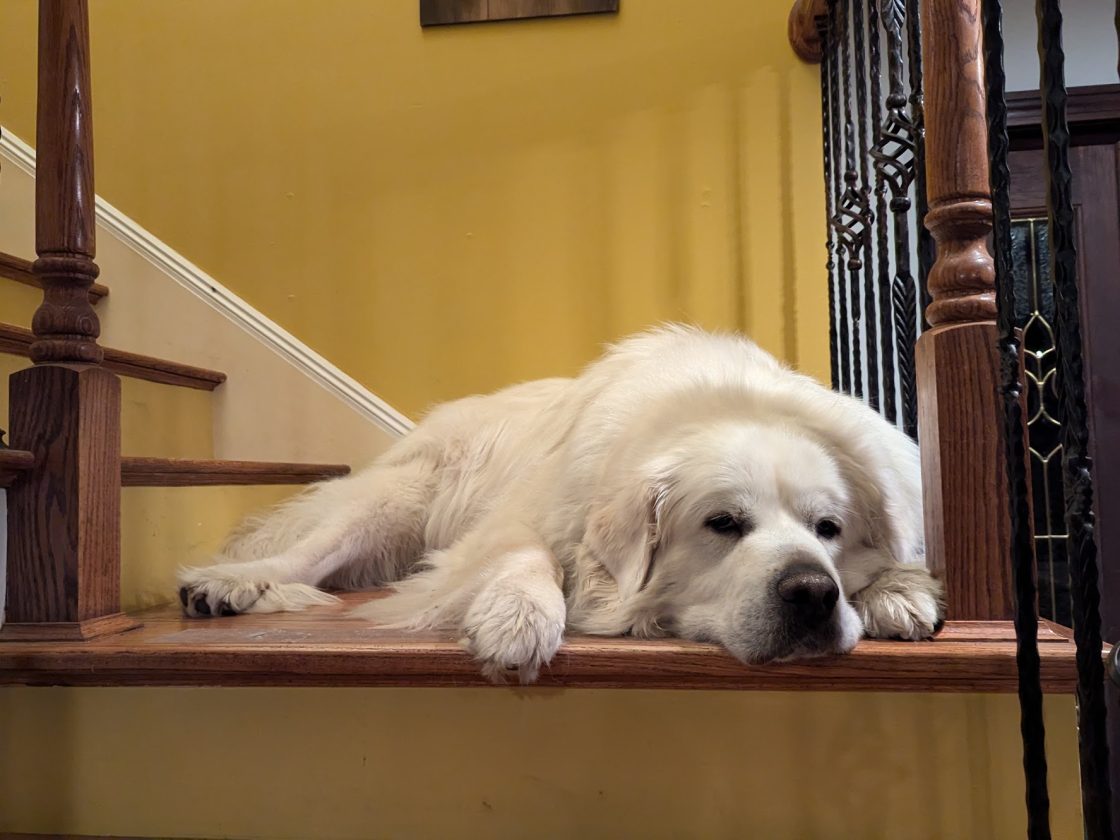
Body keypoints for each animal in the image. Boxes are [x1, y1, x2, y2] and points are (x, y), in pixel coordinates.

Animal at [176, 327, 945, 685]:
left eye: (829, 529)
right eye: (723, 524)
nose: (812, 592)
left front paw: (899, 592)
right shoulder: (522, 518)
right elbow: (528, 554)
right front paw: (517, 618)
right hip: (392, 501)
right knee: (300, 555)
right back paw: (230, 584)